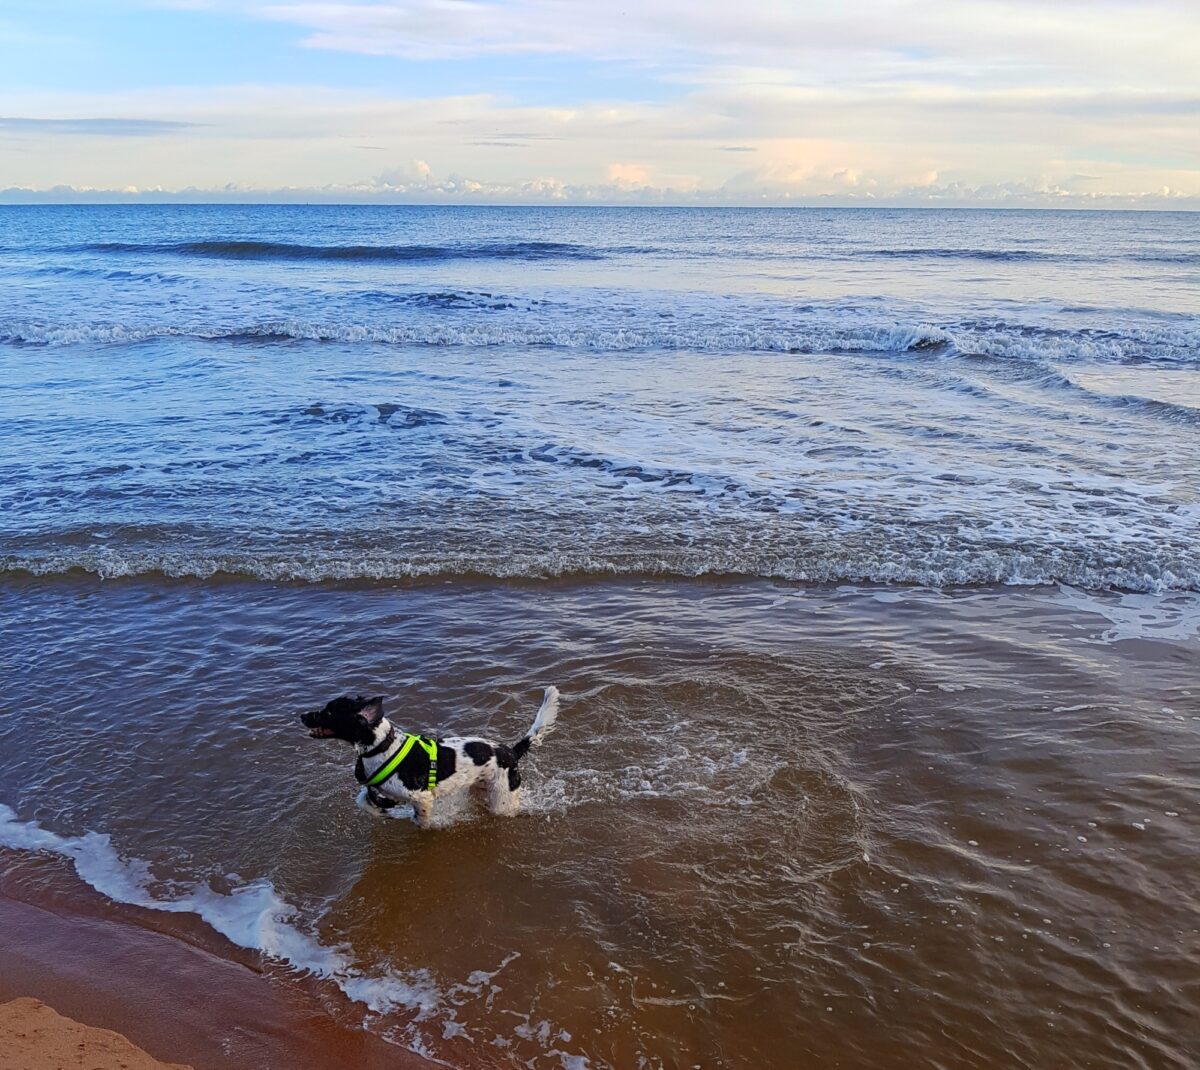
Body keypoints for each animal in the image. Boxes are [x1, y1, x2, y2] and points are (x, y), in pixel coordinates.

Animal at [300, 686, 561, 825]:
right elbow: (363, 798)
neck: (383, 747)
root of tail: (511, 751)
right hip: (479, 789)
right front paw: (379, 811)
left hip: (502, 800)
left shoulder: (421, 797)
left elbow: (422, 821)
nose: (302, 715)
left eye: (329, 711)